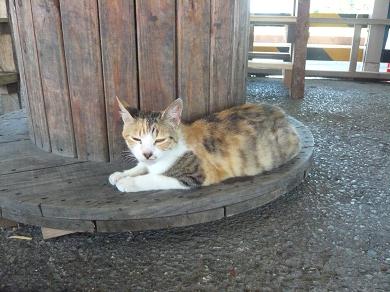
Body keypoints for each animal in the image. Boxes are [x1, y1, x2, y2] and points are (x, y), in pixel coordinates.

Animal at [109, 97, 302, 194]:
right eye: (136, 139)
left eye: (160, 140)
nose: (147, 153)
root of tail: (281, 113)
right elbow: (142, 166)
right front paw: (121, 174)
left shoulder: (198, 174)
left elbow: (154, 178)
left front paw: (127, 182)